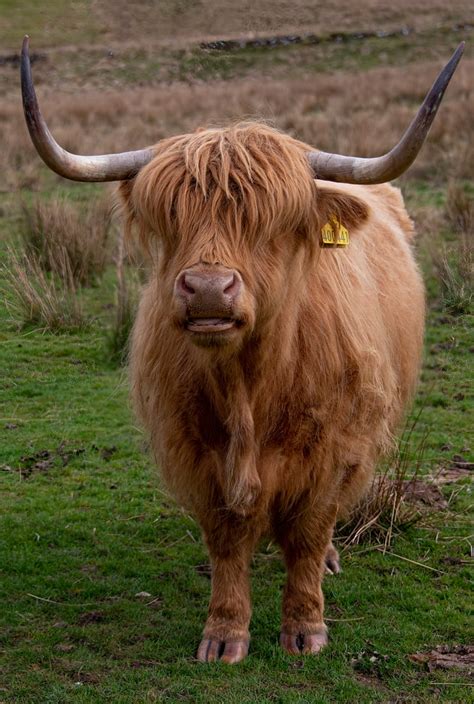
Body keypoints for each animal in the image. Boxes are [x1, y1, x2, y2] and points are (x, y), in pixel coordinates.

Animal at [21, 35, 462, 664]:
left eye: (271, 222)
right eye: (171, 217)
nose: (208, 288)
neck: (249, 387)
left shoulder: (334, 451)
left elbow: (308, 534)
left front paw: (305, 629)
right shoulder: (197, 454)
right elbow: (228, 541)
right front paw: (225, 634)